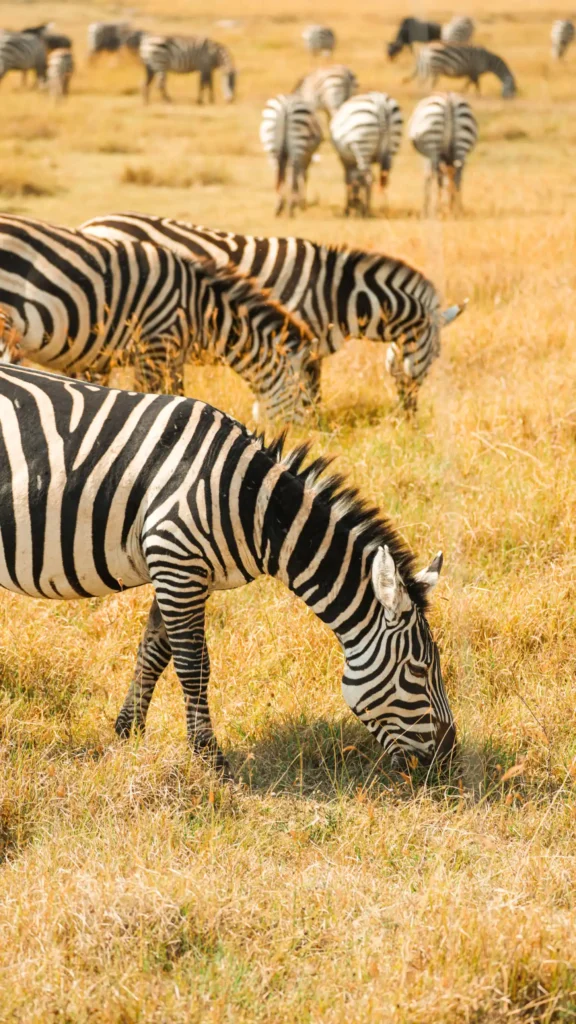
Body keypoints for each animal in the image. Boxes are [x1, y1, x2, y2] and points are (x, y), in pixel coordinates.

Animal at [0, 215, 315, 422]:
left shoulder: (163, 356)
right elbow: (152, 396)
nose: (310, 431)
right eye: (304, 397)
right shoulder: (156, 344)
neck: (199, 308)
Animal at [0, 362, 456, 773]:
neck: (253, 503)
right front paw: (209, 759)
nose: (449, 757)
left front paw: (129, 732)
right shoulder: (175, 559)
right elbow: (193, 664)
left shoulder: (181, 571)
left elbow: (154, 651)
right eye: (420, 669)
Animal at [79, 213, 466, 411]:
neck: (335, 294)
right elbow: (310, 395)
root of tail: (91, 224)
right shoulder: (301, 344)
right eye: (437, 357)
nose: (410, 416)